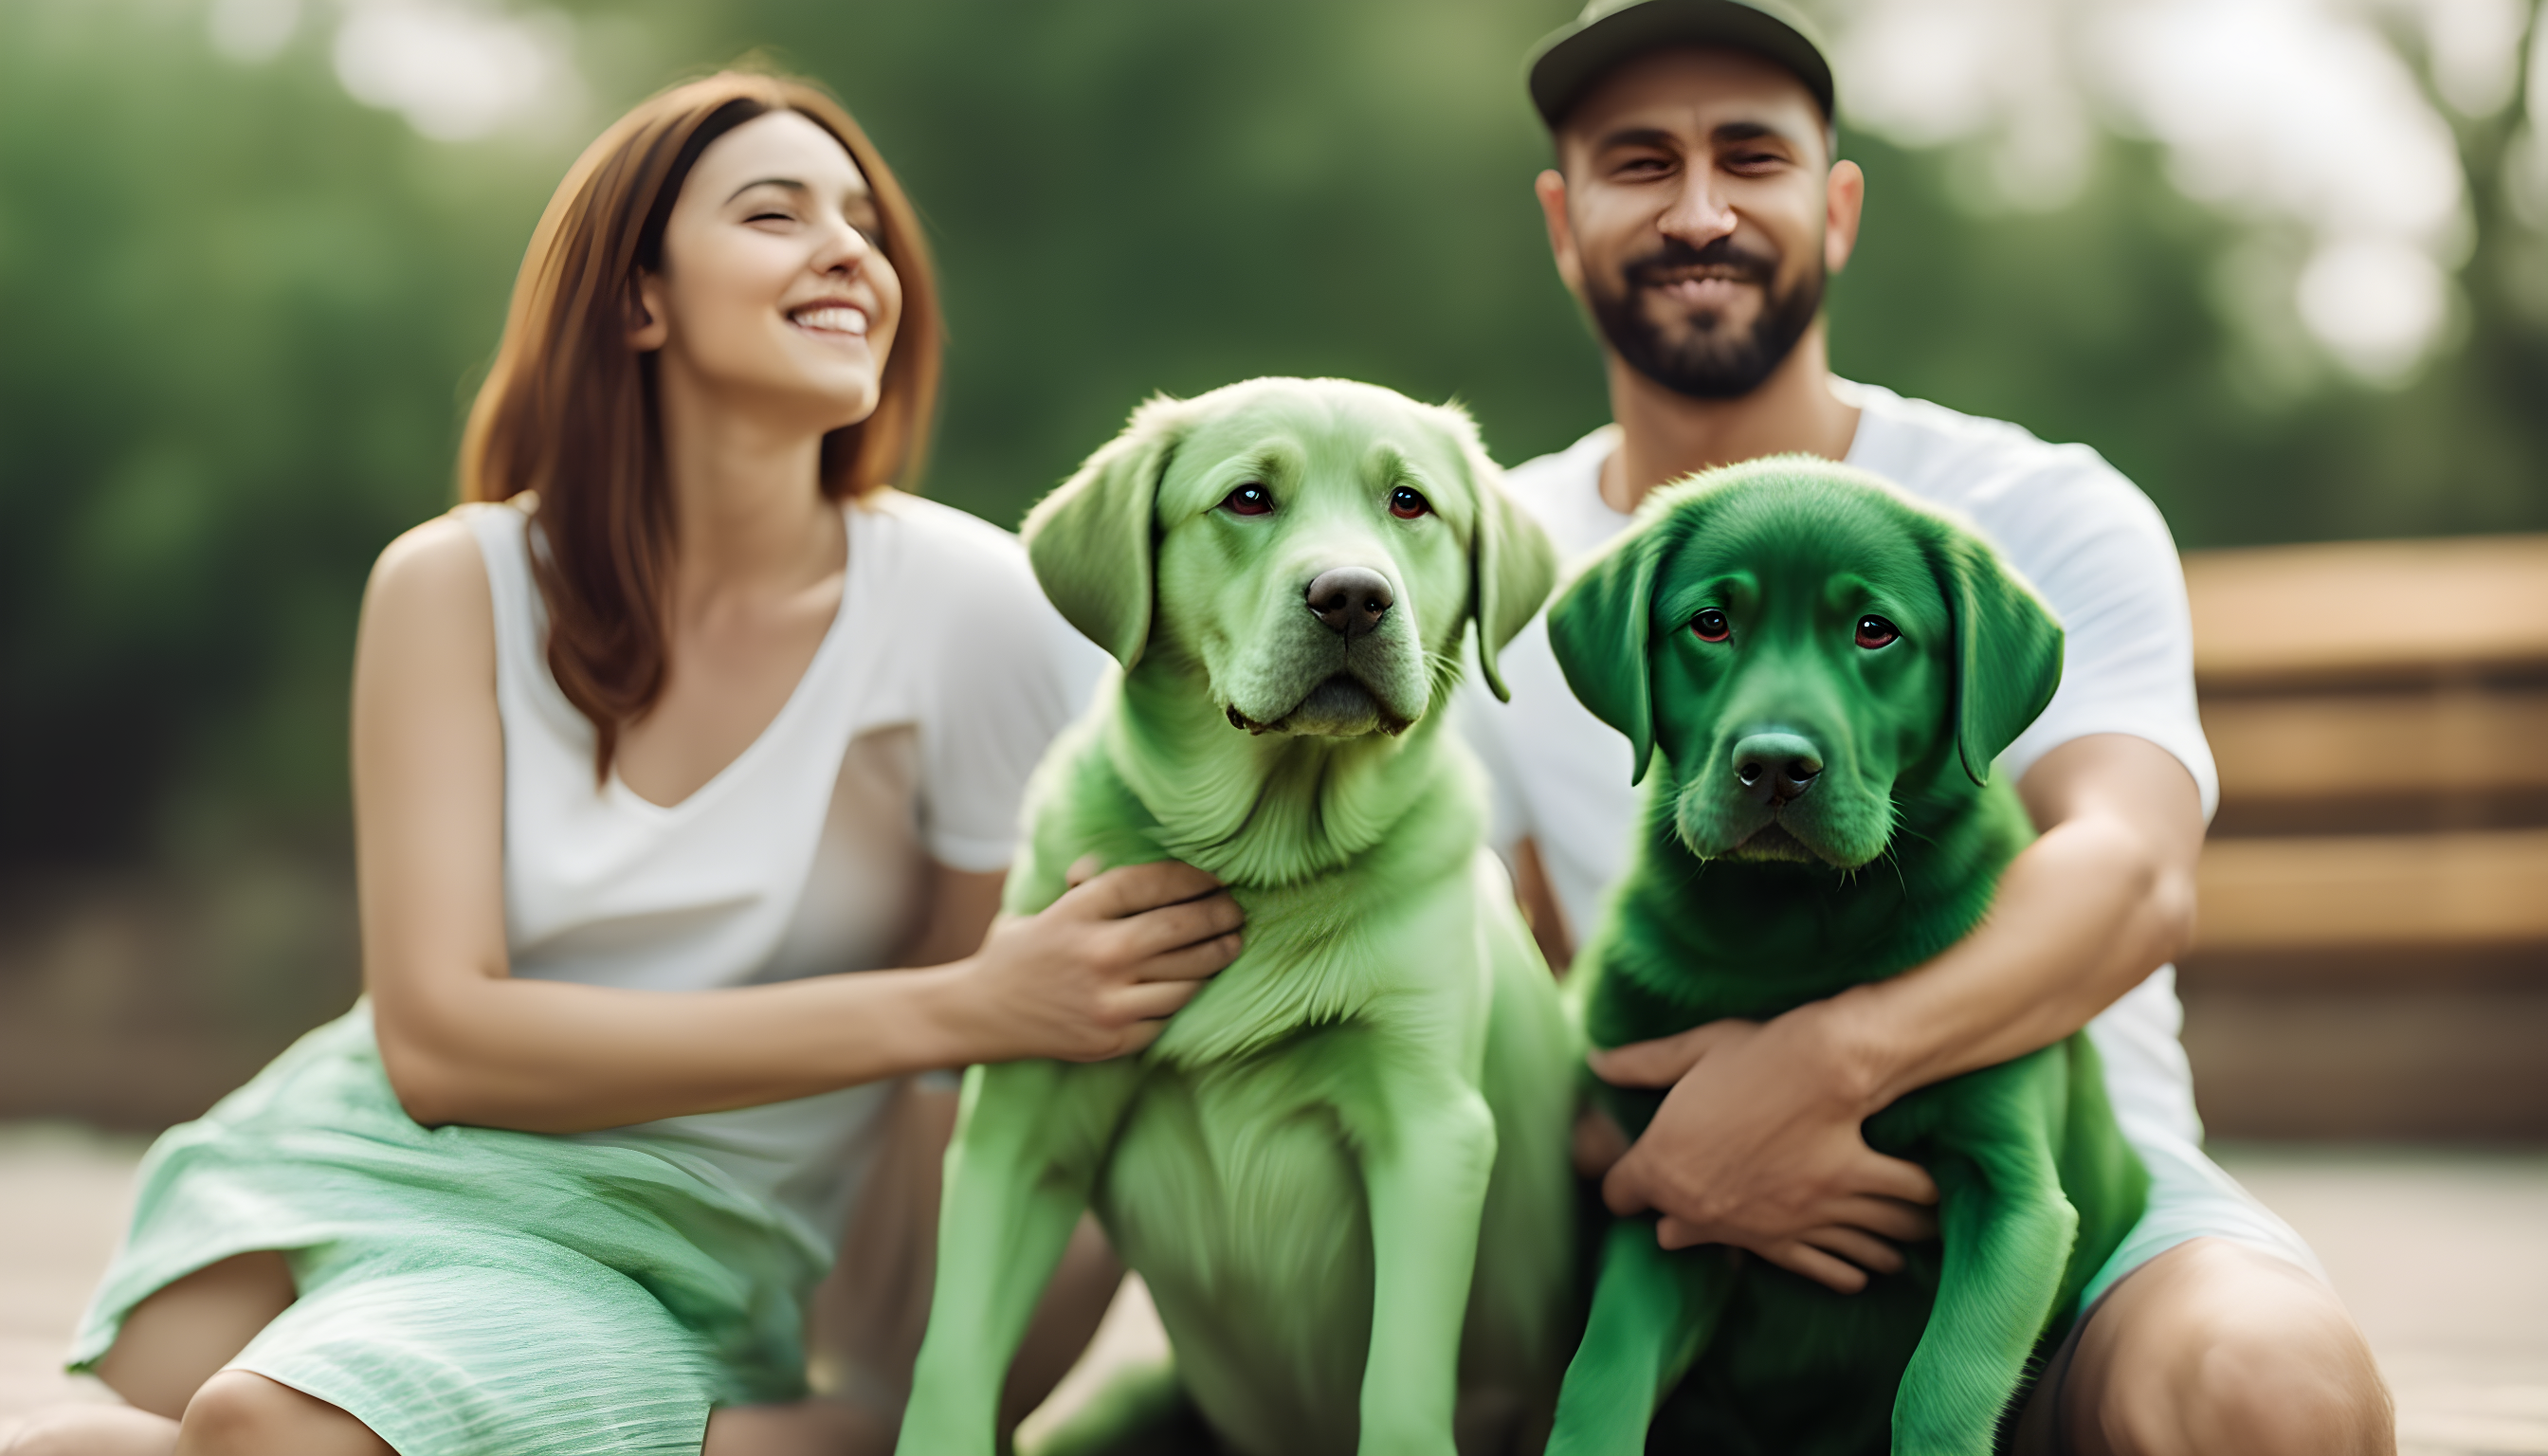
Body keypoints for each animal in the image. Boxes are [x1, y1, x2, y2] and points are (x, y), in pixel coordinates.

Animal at [891, 379, 1569, 1456]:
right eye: (1248, 498)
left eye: (1410, 503)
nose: (1352, 595)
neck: (1269, 862)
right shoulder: (1020, 1120)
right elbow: (952, 1361)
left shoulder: (1431, 1128)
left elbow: (1400, 1388)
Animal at [1538, 459, 2139, 1456]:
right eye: (1711, 623)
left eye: (1874, 631)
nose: (1777, 765)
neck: (1791, 933)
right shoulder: (1666, 1198)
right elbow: (1601, 1378)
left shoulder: (2013, 1193)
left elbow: (1942, 1383)